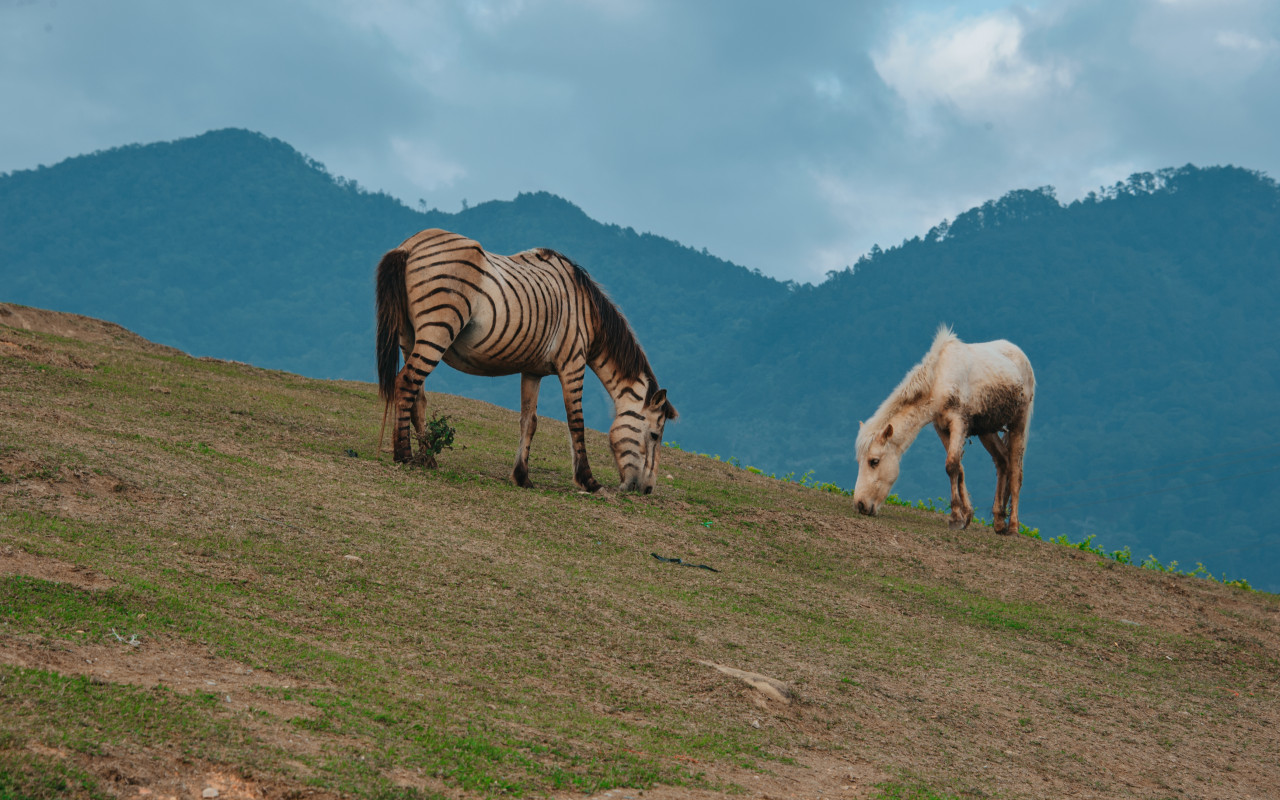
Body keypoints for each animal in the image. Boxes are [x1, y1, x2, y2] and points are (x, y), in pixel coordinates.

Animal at [376, 229, 677, 494]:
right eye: (655, 435)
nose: (647, 490)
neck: (587, 313)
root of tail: (410, 245)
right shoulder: (573, 363)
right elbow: (576, 423)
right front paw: (588, 481)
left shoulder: (533, 371)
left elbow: (529, 421)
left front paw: (522, 477)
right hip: (437, 329)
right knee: (406, 383)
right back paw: (403, 454)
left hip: (409, 336)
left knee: (417, 396)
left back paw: (427, 458)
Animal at [853, 326, 1034, 534]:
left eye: (874, 461)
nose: (860, 505)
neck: (939, 381)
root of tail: (1021, 356)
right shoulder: (941, 428)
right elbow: (959, 468)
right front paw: (967, 515)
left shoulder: (958, 423)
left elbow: (952, 465)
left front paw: (955, 518)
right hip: (986, 431)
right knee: (1003, 461)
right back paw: (998, 521)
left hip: (1018, 424)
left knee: (1016, 471)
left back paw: (1012, 526)